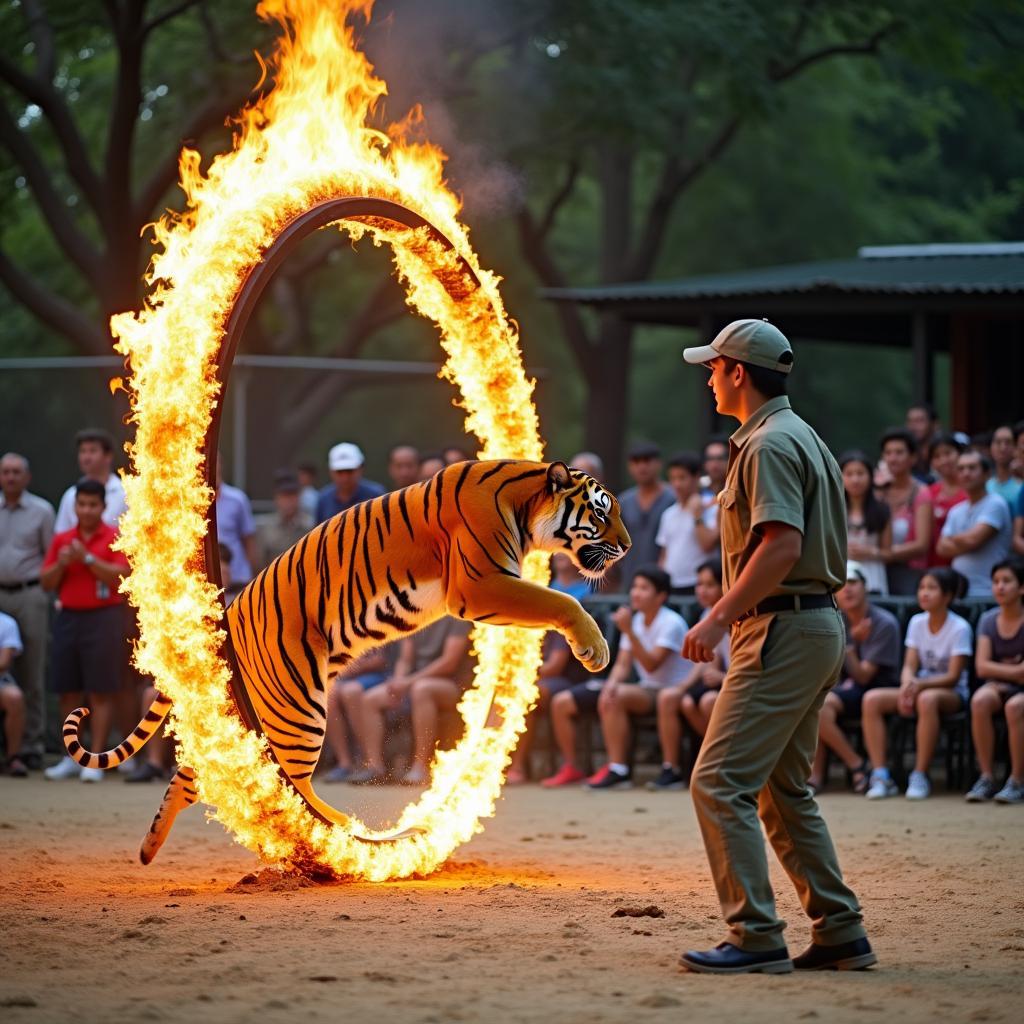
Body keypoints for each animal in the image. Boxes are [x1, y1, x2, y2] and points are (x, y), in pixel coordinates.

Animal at [64, 460, 630, 860]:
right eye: (602, 512)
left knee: (201, 772)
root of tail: (230, 610)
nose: (626, 548)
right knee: (277, 785)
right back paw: (342, 834)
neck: (525, 503)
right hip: (297, 711)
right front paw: (595, 648)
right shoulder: (478, 586)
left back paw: (151, 847)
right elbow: (564, 600)